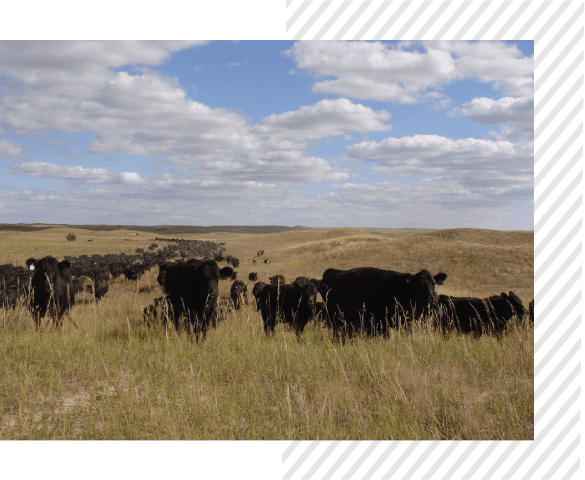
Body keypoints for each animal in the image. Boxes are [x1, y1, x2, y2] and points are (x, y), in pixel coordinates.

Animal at [320, 266, 448, 338]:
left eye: (433, 284)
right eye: (418, 285)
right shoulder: (379, 322)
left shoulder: (406, 323)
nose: (431, 300)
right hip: (334, 319)